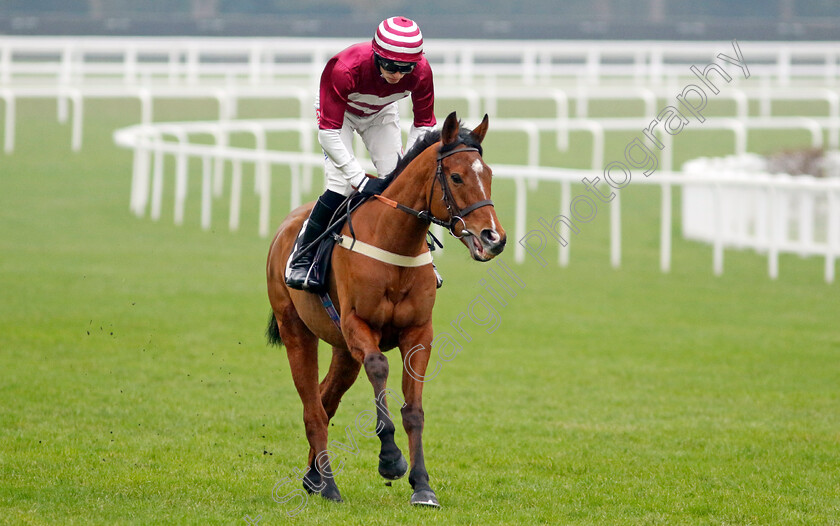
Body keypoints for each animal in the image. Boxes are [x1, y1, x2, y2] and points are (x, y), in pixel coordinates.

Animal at [266, 113, 506, 510]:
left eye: (487, 174)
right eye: (456, 177)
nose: (494, 238)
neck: (395, 244)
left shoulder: (419, 332)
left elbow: (415, 410)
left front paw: (422, 486)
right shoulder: (358, 325)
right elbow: (379, 367)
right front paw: (391, 459)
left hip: (343, 351)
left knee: (325, 400)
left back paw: (314, 477)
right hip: (296, 331)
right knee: (313, 409)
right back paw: (329, 486)